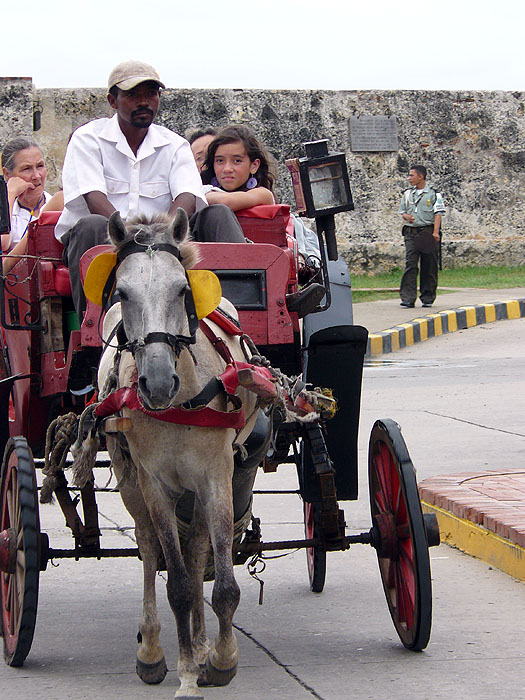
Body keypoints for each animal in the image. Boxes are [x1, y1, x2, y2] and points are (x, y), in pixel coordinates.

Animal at [91, 211, 260, 696]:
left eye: (183, 290)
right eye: (122, 293)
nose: (158, 381)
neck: (182, 399)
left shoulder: (216, 478)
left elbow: (222, 585)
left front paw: (219, 658)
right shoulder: (155, 485)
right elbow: (179, 586)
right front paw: (185, 673)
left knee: (200, 548)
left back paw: (202, 645)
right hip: (131, 481)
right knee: (149, 549)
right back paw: (152, 650)